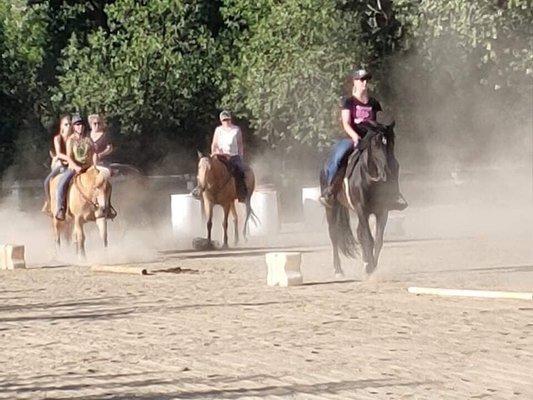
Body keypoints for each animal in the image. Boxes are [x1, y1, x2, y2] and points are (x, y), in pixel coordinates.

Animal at [320, 126, 390, 276]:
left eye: (389, 144)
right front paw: (370, 267)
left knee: (359, 233)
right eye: (375, 145)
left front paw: (371, 265)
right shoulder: (361, 209)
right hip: (331, 207)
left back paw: (364, 261)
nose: (386, 172)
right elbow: (369, 239)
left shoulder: (382, 211)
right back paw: (338, 269)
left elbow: (378, 240)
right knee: (333, 234)